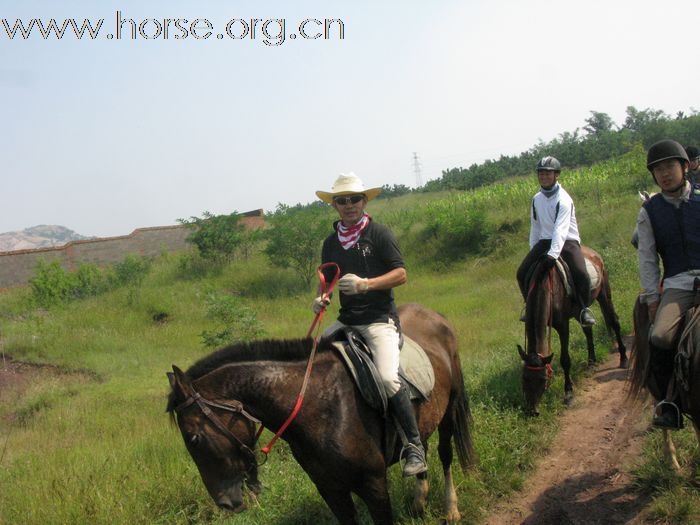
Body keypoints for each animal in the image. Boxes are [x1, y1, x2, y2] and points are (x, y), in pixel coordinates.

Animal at [166, 302, 474, 524]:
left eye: (194, 439)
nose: (225, 504)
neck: (322, 406)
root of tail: (436, 317)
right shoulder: (330, 490)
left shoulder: (373, 484)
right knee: (422, 448)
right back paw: (419, 501)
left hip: (449, 410)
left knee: (445, 454)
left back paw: (451, 509)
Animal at [516, 245, 628, 414]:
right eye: (524, 377)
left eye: (543, 379)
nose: (532, 411)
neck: (546, 285)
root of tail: (594, 254)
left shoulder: (563, 325)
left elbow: (565, 359)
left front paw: (568, 394)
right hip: (577, 311)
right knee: (588, 330)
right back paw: (591, 363)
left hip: (604, 294)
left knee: (614, 322)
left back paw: (623, 358)